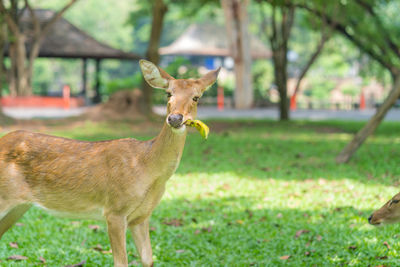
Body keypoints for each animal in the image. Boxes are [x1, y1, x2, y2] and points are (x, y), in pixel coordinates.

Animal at [0, 59, 220, 266]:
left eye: (196, 97)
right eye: (168, 94)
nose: (175, 118)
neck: (147, 167)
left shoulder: (141, 216)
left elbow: (148, 259)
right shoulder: (115, 210)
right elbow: (121, 262)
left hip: (19, 206)